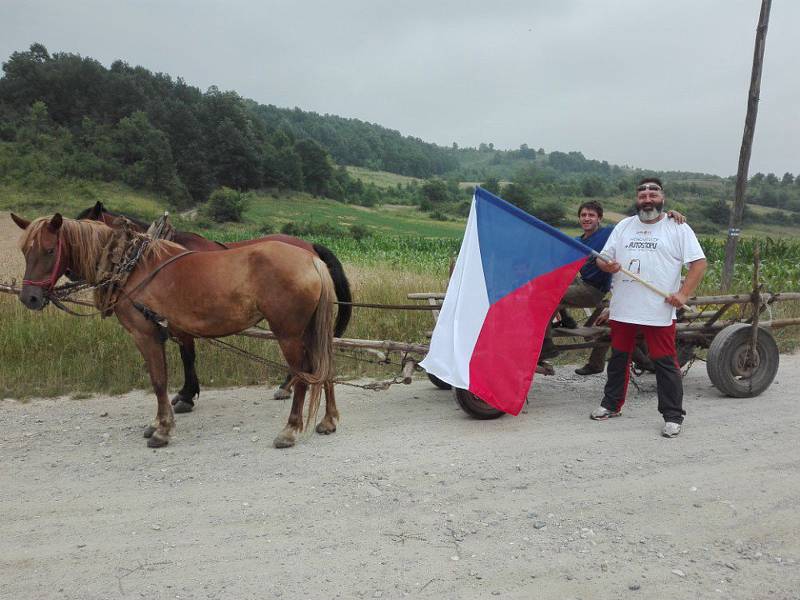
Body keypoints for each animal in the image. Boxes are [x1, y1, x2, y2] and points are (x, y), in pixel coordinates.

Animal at [13, 213, 338, 448]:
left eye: (50, 250)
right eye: (25, 251)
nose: (30, 298)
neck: (130, 267)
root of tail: (312, 260)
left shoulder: (146, 334)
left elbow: (159, 381)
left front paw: (163, 429)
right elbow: (167, 375)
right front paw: (161, 420)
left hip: (289, 334)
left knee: (303, 376)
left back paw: (290, 429)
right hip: (311, 332)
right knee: (325, 369)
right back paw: (329, 420)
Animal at [76, 200, 352, 412]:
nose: (71, 275)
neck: (156, 258)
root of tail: (310, 247)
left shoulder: (182, 321)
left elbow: (187, 356)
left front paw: (186, 396)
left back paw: (288, 385)